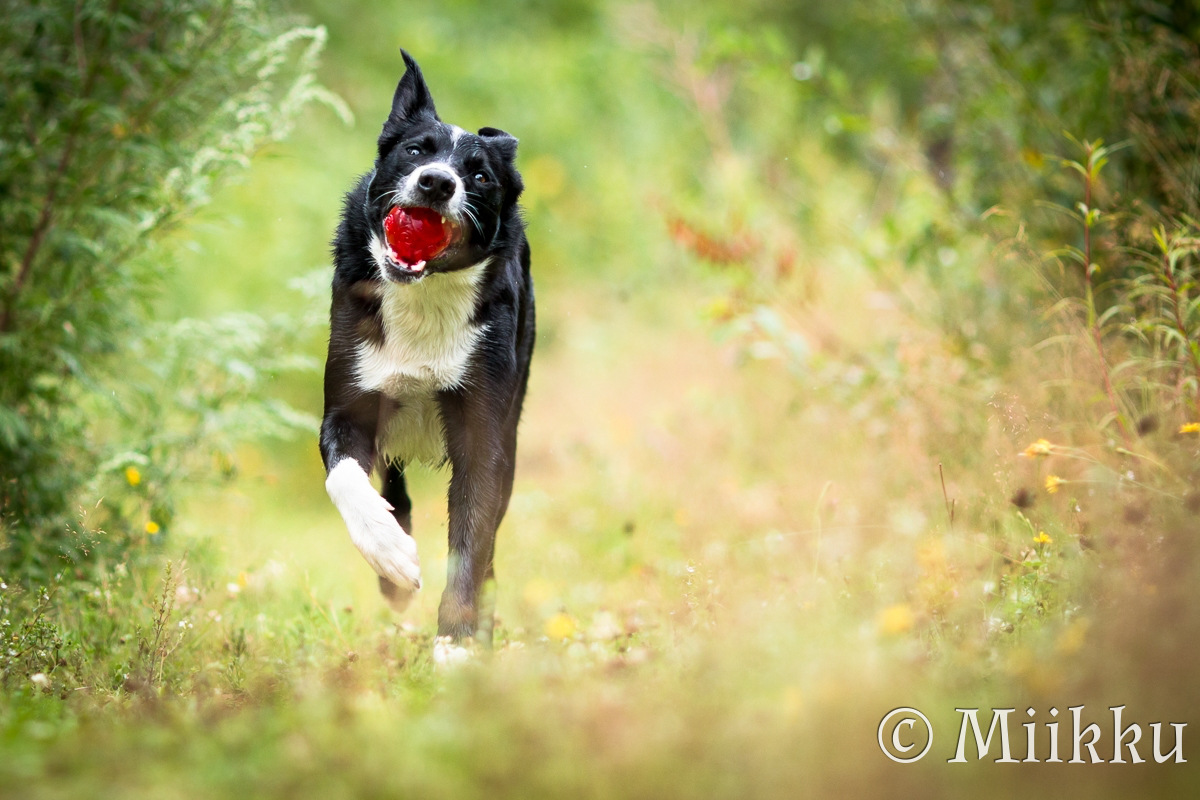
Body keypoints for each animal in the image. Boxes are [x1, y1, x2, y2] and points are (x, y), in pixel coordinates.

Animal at [319, 51, 533, 645]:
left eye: (479, 174)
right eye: (416, 151)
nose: (437, 182)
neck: (424, 298)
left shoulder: (484, 434)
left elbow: (471, 546)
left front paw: (457, 644)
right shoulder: (348, 404)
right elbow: (345, 477)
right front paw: (391, 554)